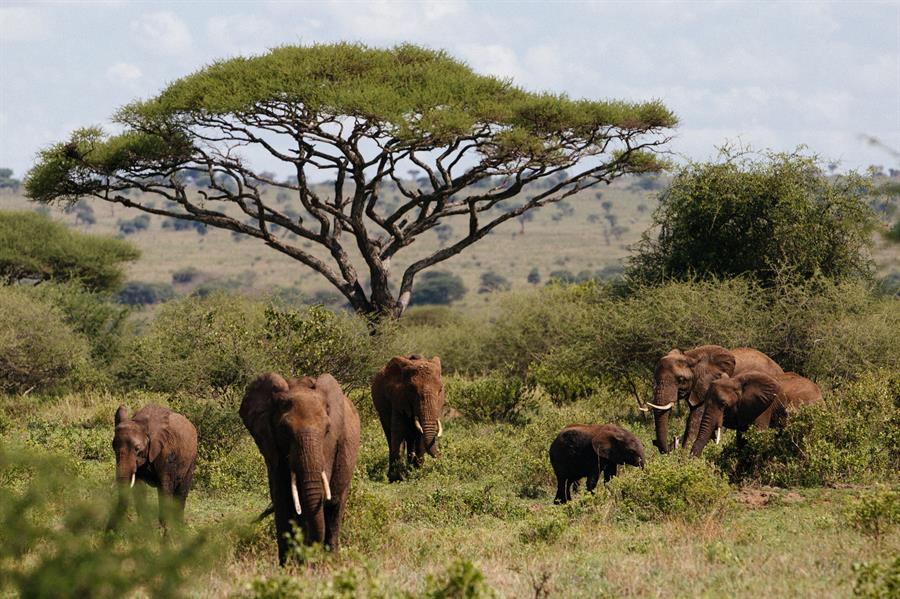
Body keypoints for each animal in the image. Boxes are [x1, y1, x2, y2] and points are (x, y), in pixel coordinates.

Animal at [244, 372, 364, 564]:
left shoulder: (328, 448)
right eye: (284, 430)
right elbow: (283, 500)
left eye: (327, 429)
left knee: (334, 510)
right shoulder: (272, 448)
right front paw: (288, 567)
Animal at [648, 346, 780, 454]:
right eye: (655, 378)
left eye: (681, 379)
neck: (691, 356)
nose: (671, 447)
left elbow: (696, 419)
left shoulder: (707, 385)